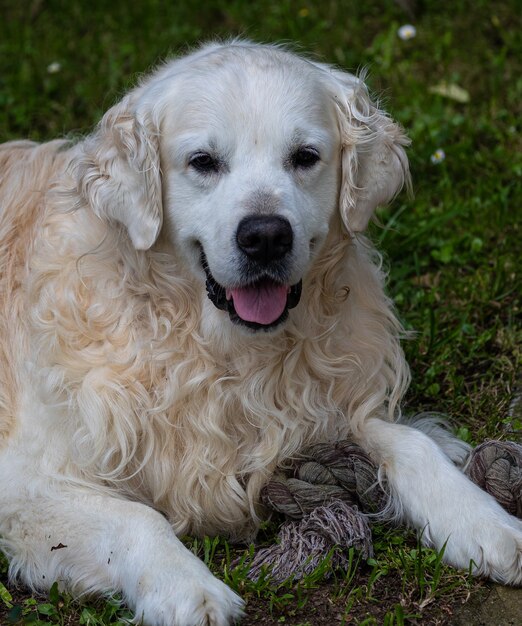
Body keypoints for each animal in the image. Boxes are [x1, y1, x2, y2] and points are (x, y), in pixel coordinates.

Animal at [0, 40, 516, 624]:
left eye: (305, 157)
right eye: (203, 162)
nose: (265, 236)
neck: (226, 356)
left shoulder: (322, 409)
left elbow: (409, 442)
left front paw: (485, 520)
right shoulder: (26, 482)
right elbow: (138, 518)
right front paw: (188, 590)